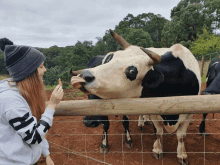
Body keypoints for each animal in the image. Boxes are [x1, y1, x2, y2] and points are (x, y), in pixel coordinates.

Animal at [70, 30, 201, 165]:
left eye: (132, 71)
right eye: (111, 59)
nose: (85, 75)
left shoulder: (190, 112)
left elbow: (181, 136)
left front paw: (182, 155)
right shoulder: (153, 111)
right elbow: (158, 131)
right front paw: (157, 150)